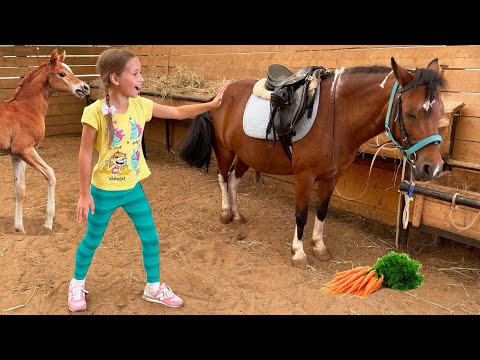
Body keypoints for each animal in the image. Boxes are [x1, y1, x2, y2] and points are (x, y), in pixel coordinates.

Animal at [0, 48, 89, 233]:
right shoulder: (25, 149)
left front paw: (19, 227)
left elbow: (20, 189)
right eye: (62, 73)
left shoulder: (16, 155)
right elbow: (51, 174)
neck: (26, 108)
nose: (85, 87)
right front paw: (48, 222)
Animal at [179, 57, 446, 268]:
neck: (335, 116)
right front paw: (298, 253)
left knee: (234, 180)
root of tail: (222, 93)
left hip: (247, 154)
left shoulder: (332, 177)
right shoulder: (304, 177)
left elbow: (322, 211)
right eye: (410, 113)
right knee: (223, 178)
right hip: (224, 150)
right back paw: (226, 213)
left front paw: (318, 246)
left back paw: (236, 214)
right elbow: (301, 215)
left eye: (441, 112)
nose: (432, 168)